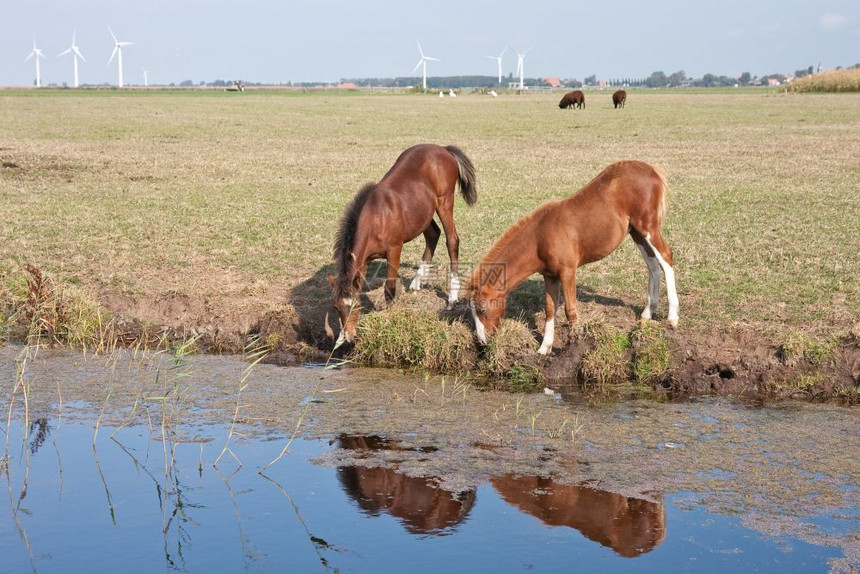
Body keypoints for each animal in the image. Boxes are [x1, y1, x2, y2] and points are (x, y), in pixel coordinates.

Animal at [328, 143, 478, 344]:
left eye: (356, 305)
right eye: (336, 307)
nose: (350, 337)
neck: (376, 219)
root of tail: (443, 148)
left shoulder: (394, 250)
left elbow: (389, 288)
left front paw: (389, 320)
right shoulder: (365, 260)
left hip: (445, 202)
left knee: (452, 239)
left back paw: (452, 297)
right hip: (423, 212)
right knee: (433, 234)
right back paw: (417, 281)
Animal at [470, 161, 680, 356]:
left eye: (481, 309)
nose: (482, 342)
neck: (540, 237)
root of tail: (651, 169)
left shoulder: (567, 271)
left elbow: (570, 310)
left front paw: (576, 345)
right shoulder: (550, 276)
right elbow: (550, 309)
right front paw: (544, 348)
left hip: (648, 227)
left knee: (666, 257)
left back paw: (672, 317)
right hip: (636, 232)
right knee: (653, 264)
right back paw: (647, 313)